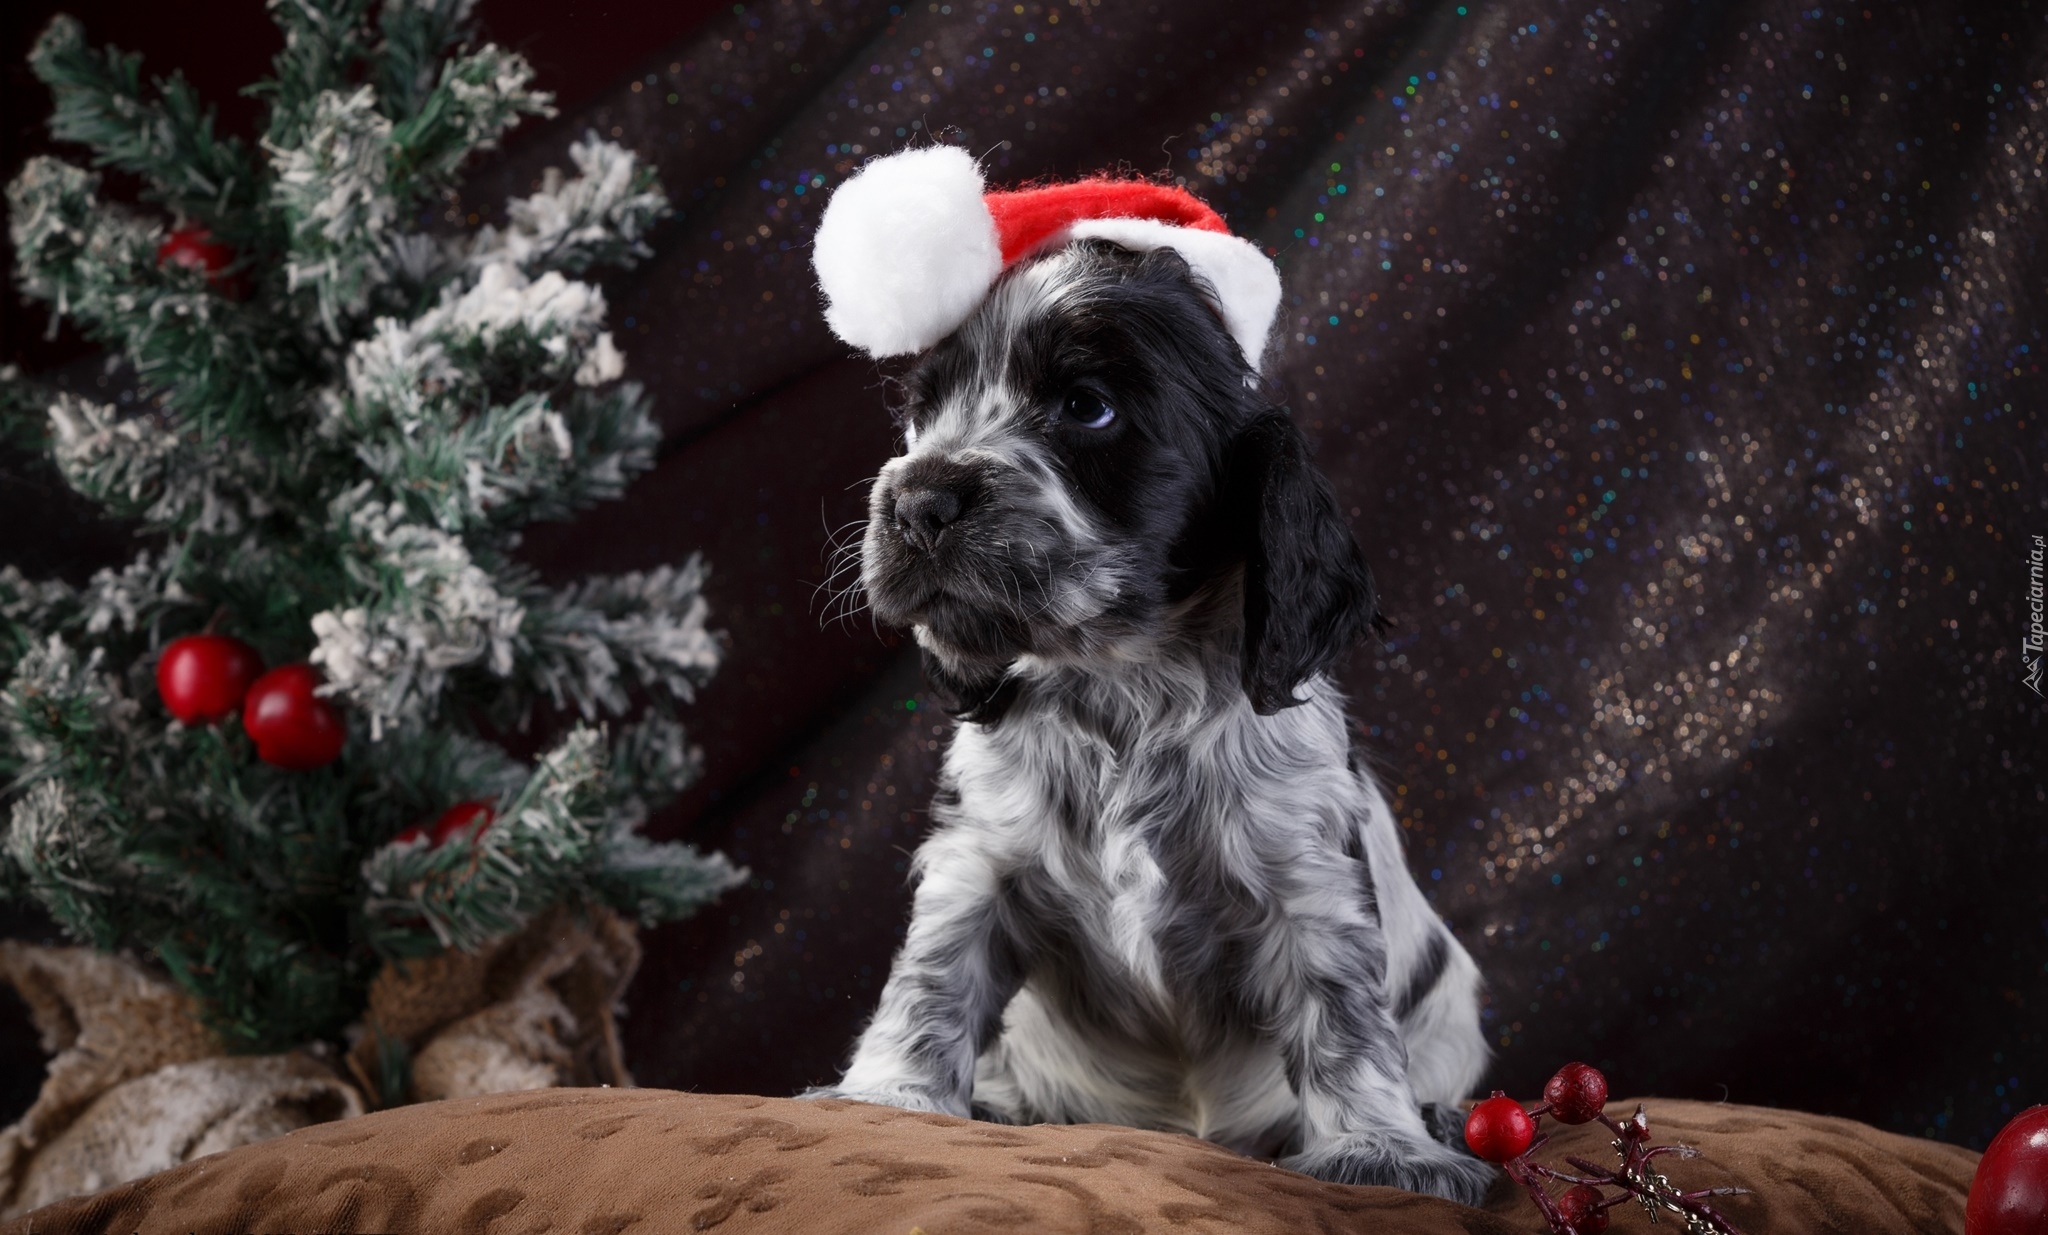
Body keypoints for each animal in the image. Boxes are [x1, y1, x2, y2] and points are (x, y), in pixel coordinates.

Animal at [806, 236, 1499, 1204]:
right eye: (923, 412)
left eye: (1085, 407)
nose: (915, 501)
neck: (1121, 686)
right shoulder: (978, 862)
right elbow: (932, 977)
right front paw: (889, 1096)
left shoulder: (1308, 881)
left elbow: (1344, 1019)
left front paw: (1384, 1149)